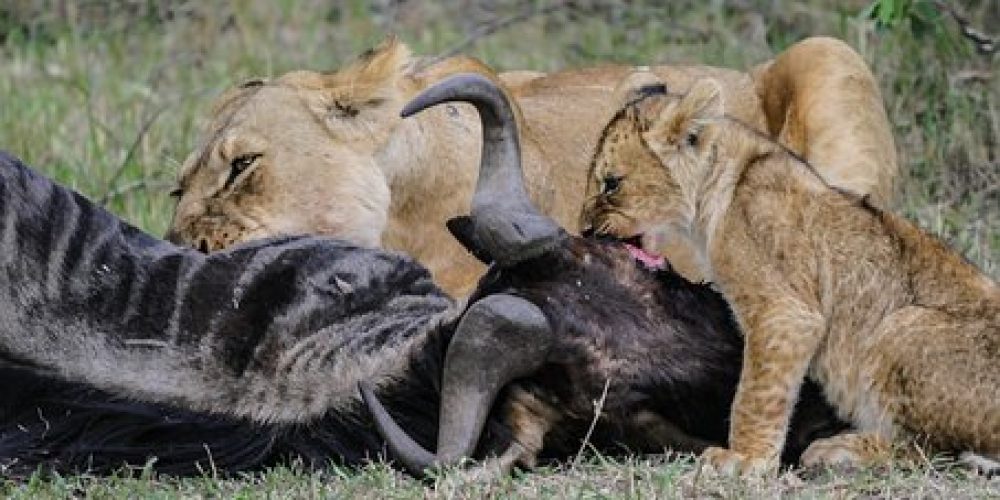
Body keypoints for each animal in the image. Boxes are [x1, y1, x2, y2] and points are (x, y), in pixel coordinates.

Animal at [581, 77, 1000, 475]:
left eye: (611, 183)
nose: (584, 229)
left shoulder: (784, 311)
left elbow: (757, 392)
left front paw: (745, 459)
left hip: (900, 325)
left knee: (933, 450)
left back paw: (841, 450)